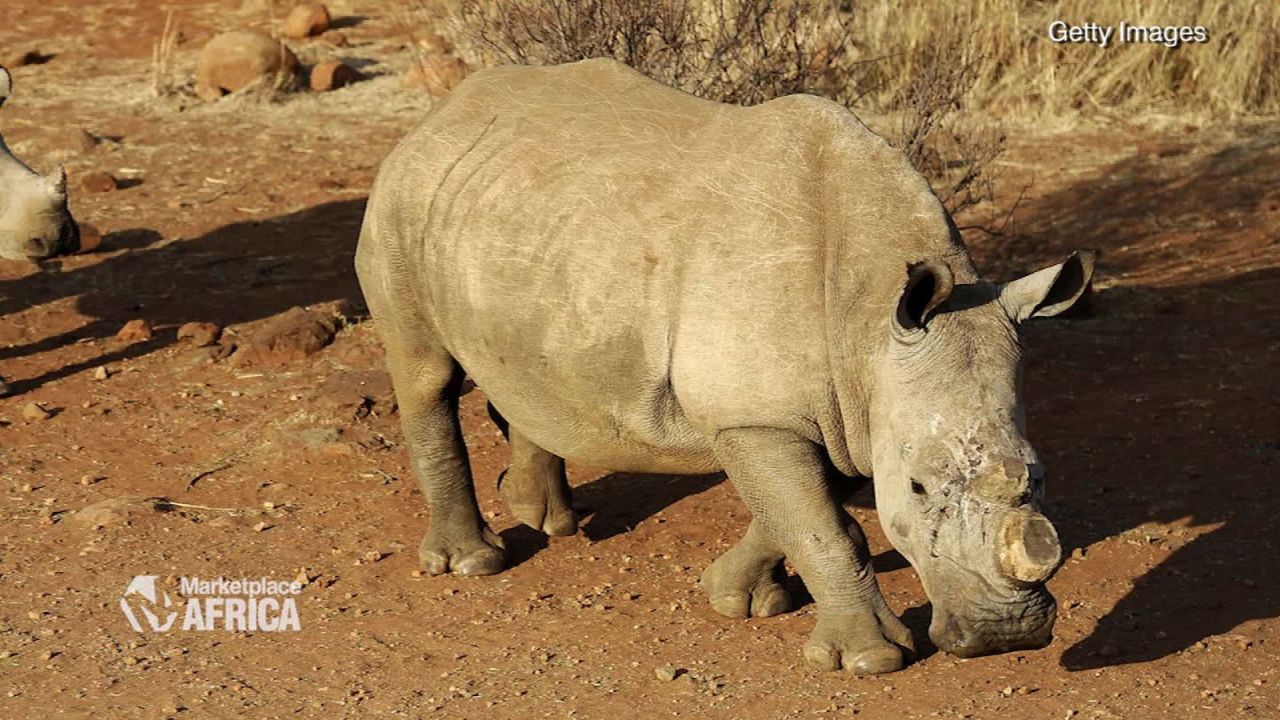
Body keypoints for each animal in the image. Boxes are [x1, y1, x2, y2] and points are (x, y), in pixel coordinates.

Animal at [355, 58, 1095, 671]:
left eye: (1039, 476)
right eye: (915, 488)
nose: (1008, 636)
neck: (869, 316)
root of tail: (439, 114)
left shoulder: (827, 404)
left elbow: (801, 509)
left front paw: (738, 599)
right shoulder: (760, 415)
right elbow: (824, 525)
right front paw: (869, 660)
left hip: (519, 222)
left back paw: (546, 519)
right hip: (402, 200)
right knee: (426, 373)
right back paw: (474, 563)